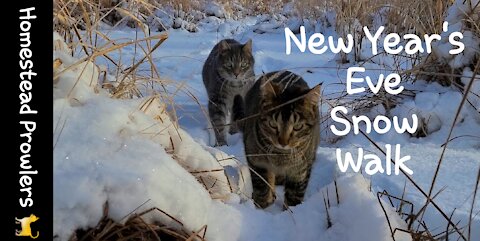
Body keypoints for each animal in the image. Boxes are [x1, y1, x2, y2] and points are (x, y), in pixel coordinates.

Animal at [235, 70, 320, 208]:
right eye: (273, 125)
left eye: (297, 127)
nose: (283, 142)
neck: (281, 155)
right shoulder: (256, 160)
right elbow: (262, 185)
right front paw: (262, 205)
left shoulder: (301, 168)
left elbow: (295, 193)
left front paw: (293, 209)